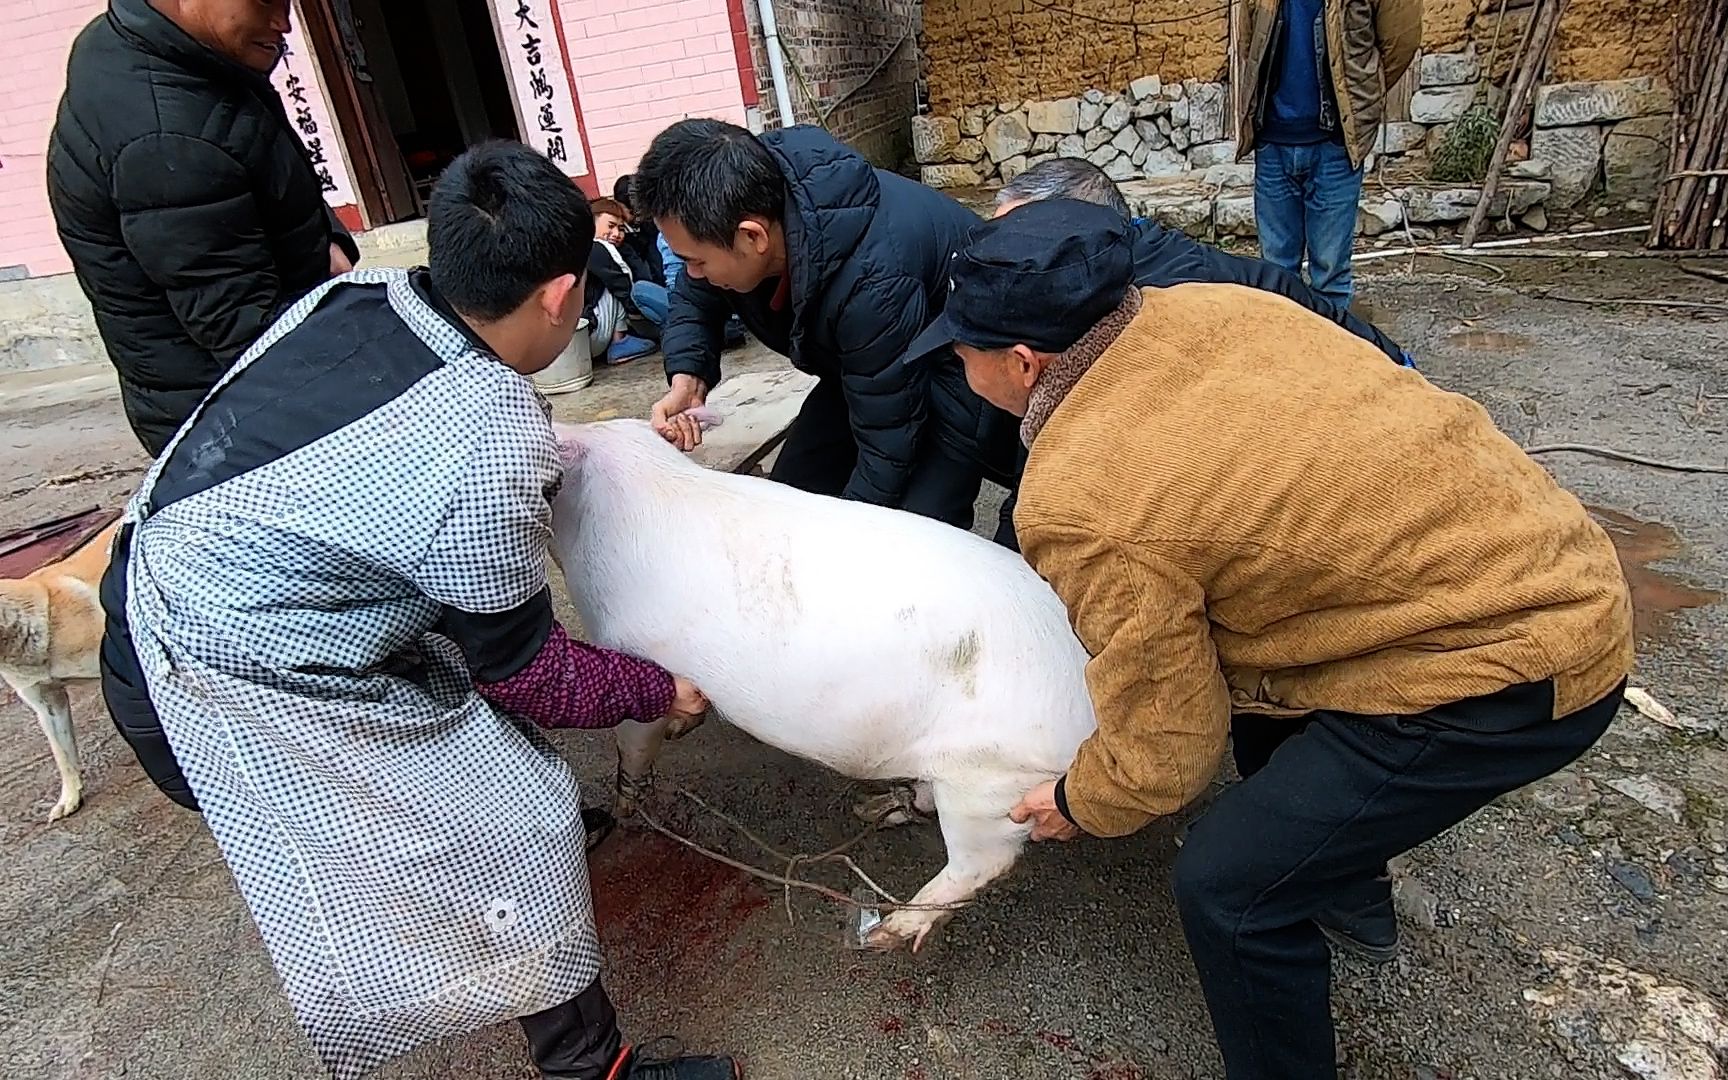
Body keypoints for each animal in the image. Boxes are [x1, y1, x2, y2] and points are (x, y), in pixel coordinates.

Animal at [546, 416, 1099, 946]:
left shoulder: (628, 646)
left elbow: (633, 741)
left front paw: (624, 811)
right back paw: (874, 810)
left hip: (989, 777)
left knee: (983, 864)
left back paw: (885, 934)